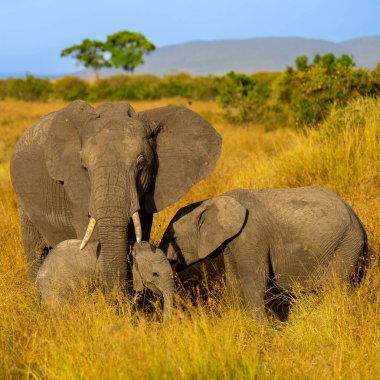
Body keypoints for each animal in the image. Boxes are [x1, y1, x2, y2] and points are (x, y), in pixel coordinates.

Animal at [159, 186, 366, 320]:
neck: (213, 200)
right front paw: (239, 323)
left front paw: (260, 332)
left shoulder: (251, 236)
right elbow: (233, 281)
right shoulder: (232, 244)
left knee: (333, 284)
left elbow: (254, 281)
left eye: (173, 237)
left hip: (347, 243)